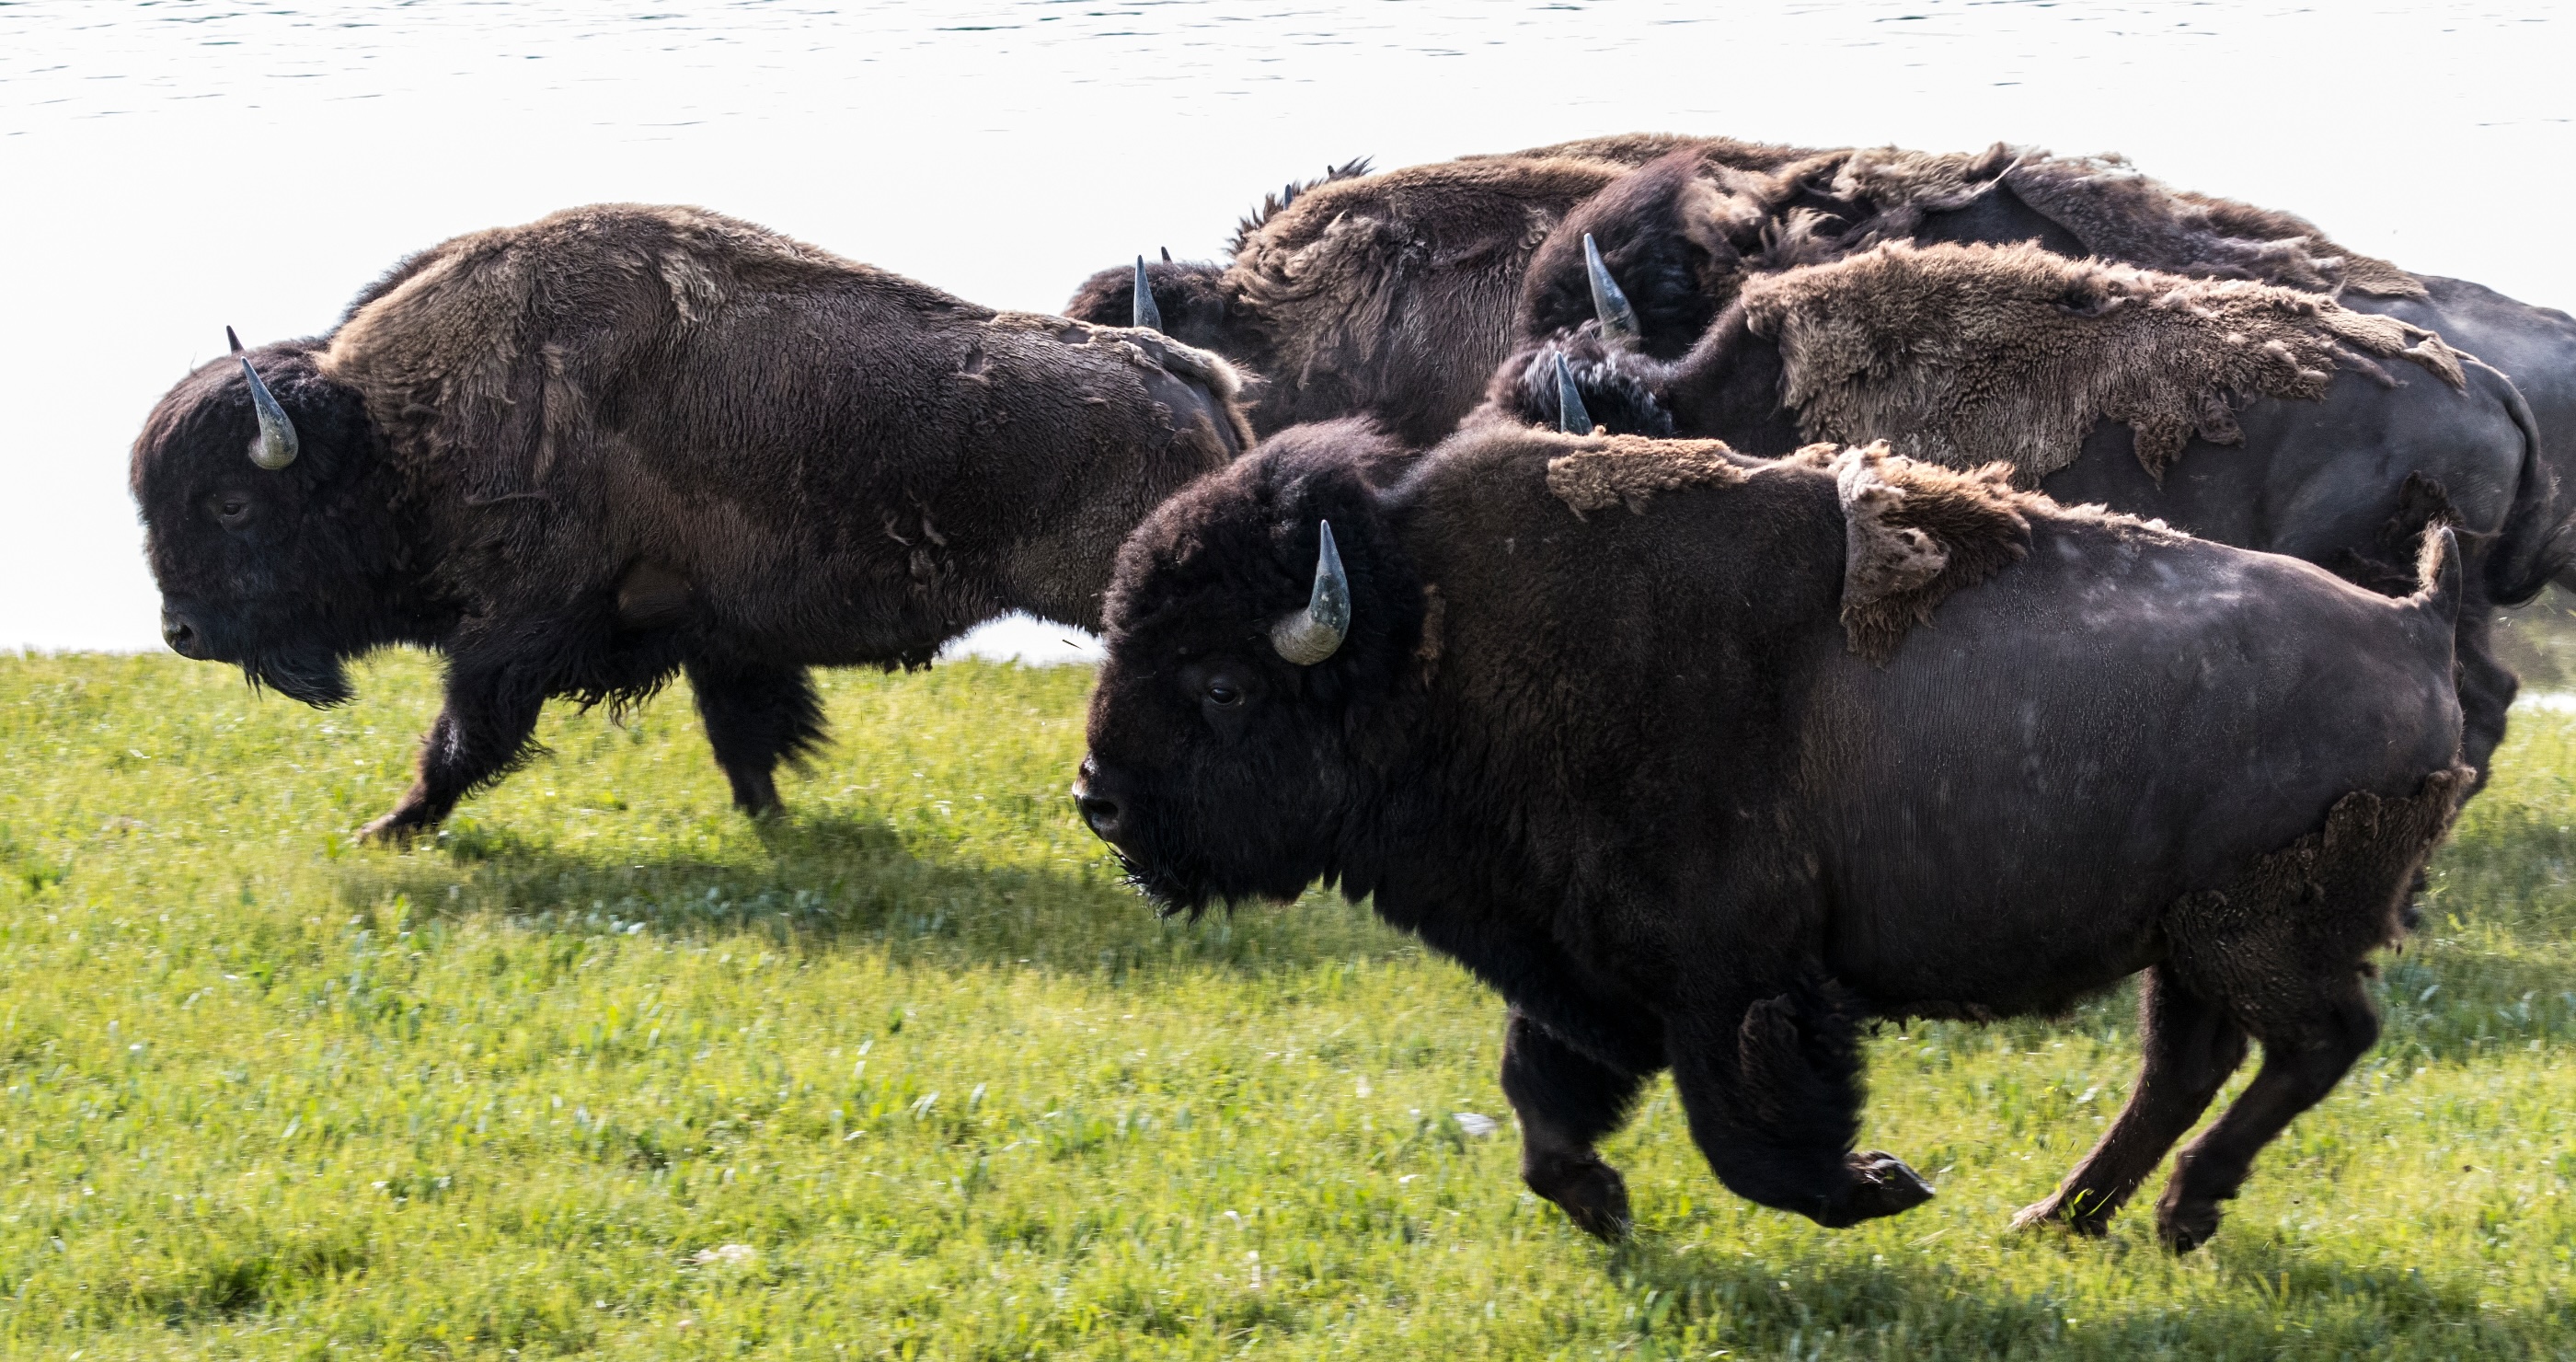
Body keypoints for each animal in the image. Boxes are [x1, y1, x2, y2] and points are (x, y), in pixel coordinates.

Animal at [135, 202, 1251, 839]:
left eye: (231, 502)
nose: (179, 631)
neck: (398, 428)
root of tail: (1185, 370)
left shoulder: (519, 628)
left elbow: (466, 731)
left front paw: (392, 826)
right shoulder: (723, 633)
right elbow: (745, 734)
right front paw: (773, 821)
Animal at [1076, 420, 2462, 1246]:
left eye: (1221, 684)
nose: (1098, 797)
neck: (1428, 638)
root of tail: (2414, 630)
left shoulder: (1729, 981)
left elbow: (1745, 1135)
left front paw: (1880, 1185)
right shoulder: (1579, 964)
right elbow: (1541, 1092)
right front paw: (1601, 1205)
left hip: (2250, 935)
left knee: (2313, 1043)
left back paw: (2166, 1213)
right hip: (2182, 943)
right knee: (2189, 1064)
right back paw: (2061, 1217)